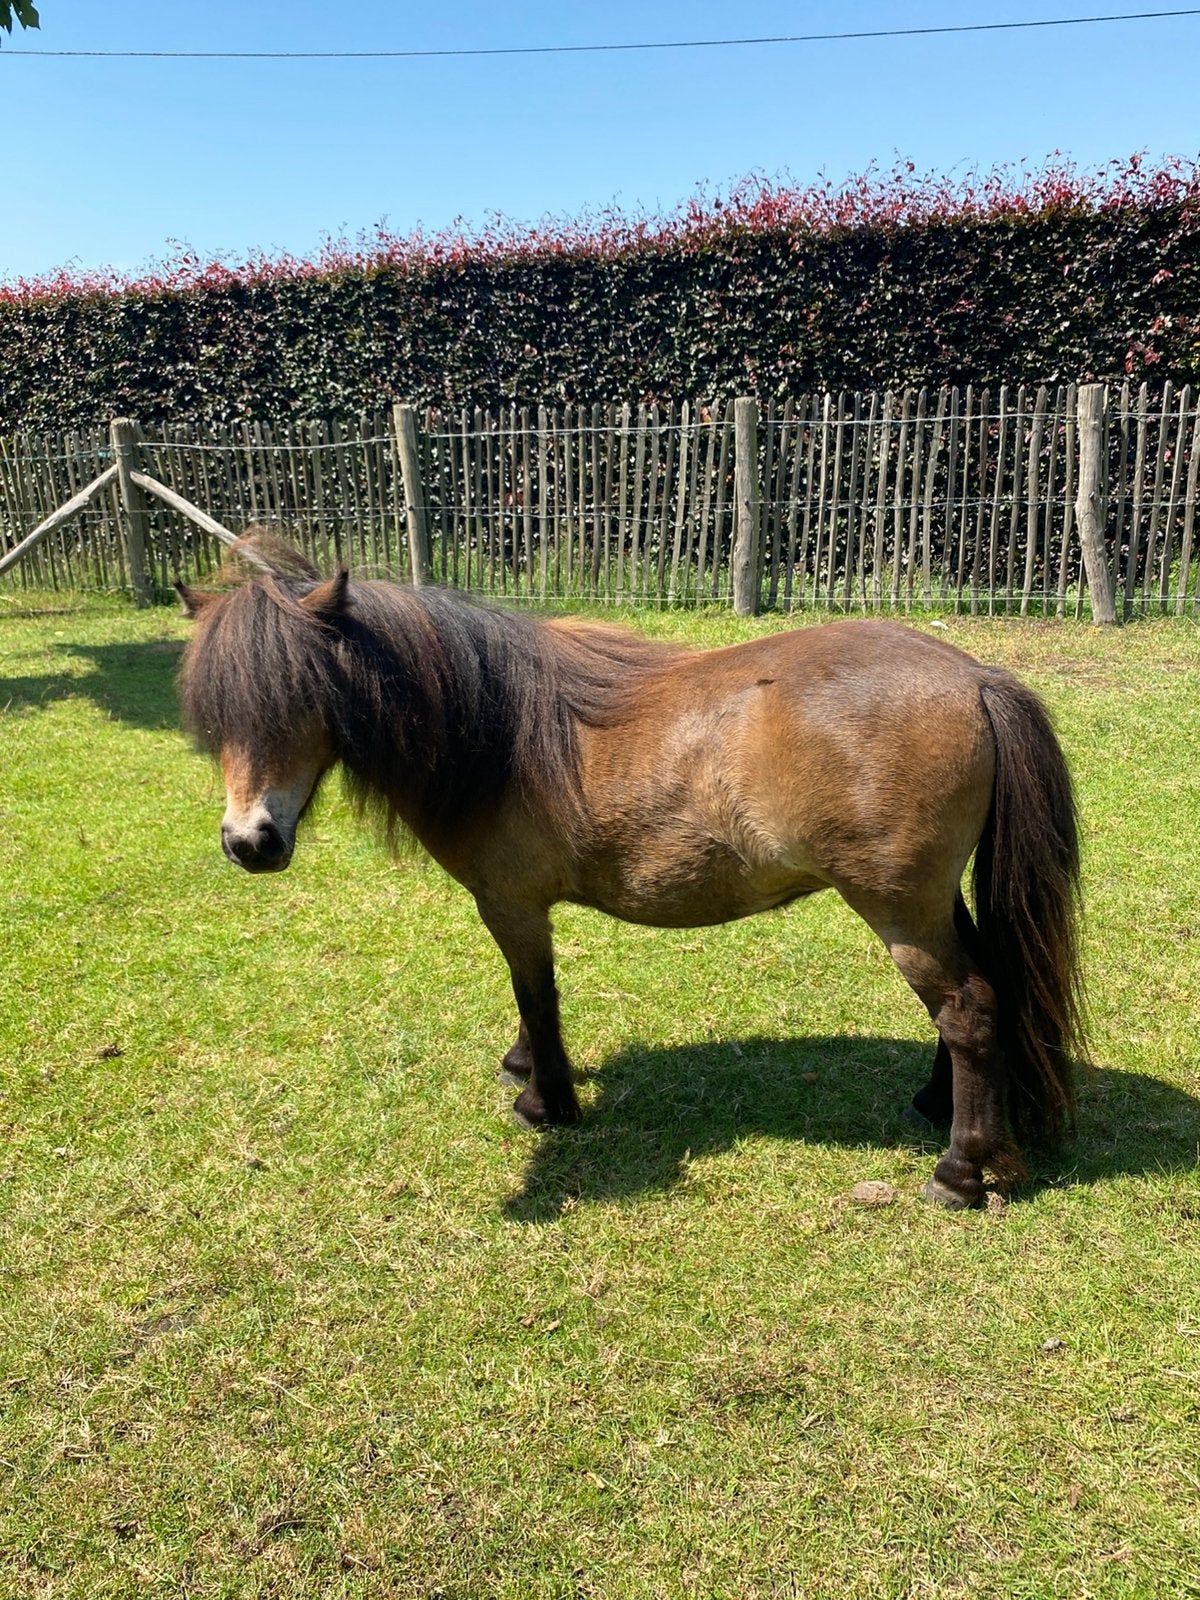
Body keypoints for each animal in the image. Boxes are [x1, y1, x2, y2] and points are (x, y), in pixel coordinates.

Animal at [177, 536, 1086, 1210]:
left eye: (306, 695)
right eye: (216, 712)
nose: (250, 842)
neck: (497, 731)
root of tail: (974, 677)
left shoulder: (510, 904)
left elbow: (535, 994)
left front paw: (546, 1101)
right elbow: (530, 998)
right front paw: (523, 1067)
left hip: (899, 907)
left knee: (967, 1010)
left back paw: (959, 1171)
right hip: (932, 901)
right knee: (980, 991)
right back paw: (939, 1108)